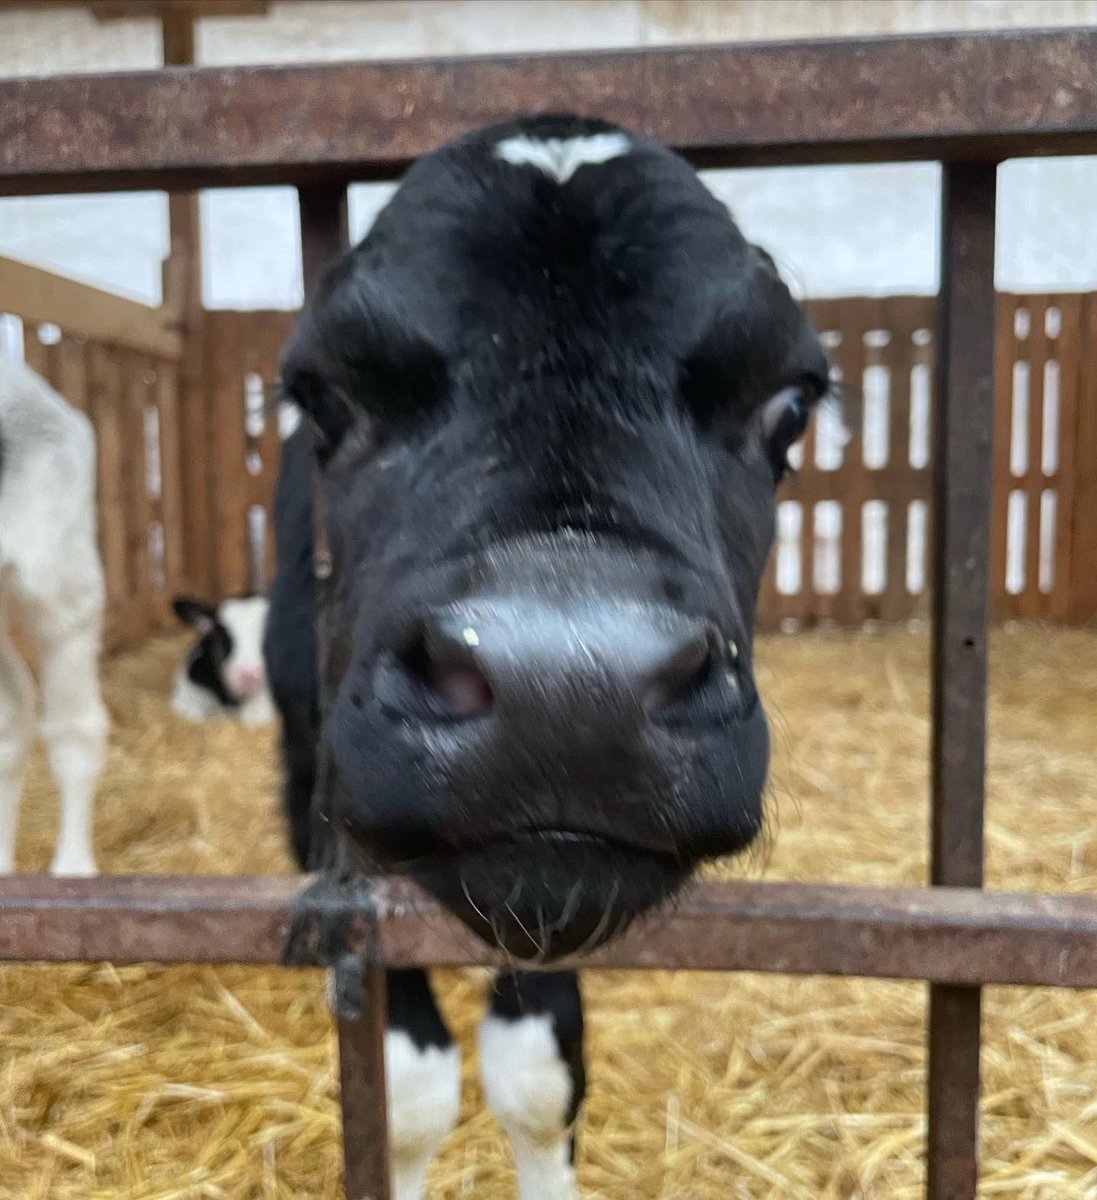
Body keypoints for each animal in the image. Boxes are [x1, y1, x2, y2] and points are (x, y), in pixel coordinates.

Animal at [265, 115, 828, 1199]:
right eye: (325, 396)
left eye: (788, 403)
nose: (567, 691)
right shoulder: (328, 790)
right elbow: (404, 1091)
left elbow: (538, 1075)